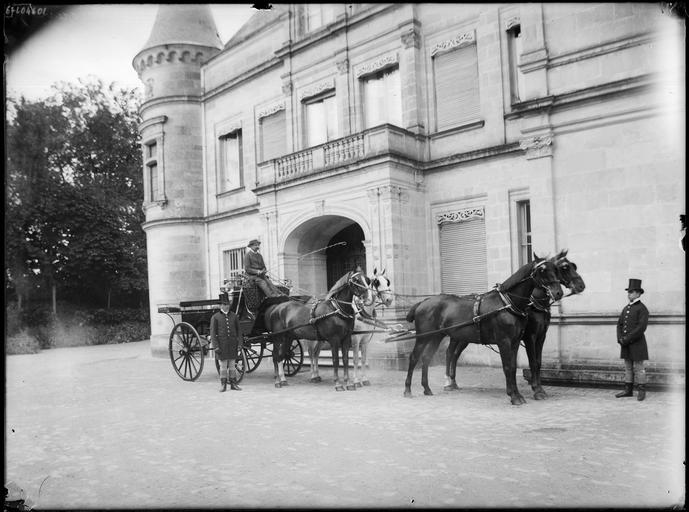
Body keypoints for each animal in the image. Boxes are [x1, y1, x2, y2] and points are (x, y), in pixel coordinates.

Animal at [404, 258, 564, 406]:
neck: (508, 303)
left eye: (556, 269)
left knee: (428, 357)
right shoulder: (509, 341)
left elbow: (517, 366)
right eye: (542, 270)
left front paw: (520, 393)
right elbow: (510, 366)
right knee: (414, 358)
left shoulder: (517, 341)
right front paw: (515, 396)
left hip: (438, 336)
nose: (558, 292)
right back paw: (408, 390)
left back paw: (428, 388)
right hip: (424, 337)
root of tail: (423, 302)